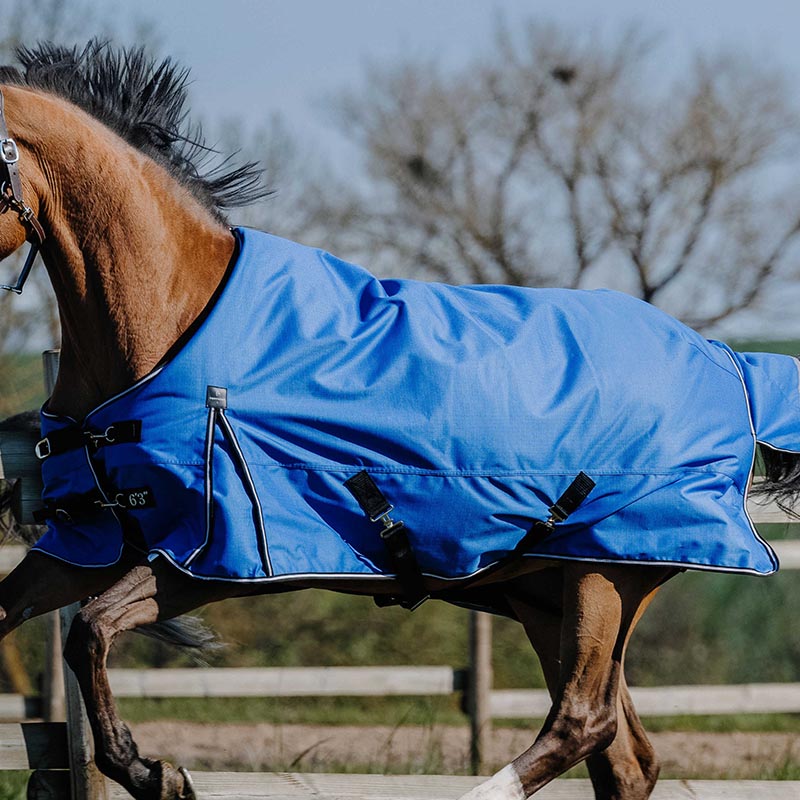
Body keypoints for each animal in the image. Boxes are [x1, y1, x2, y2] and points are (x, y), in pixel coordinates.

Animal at [0, 42, 797, 800]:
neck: (170, 321)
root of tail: (727, 361)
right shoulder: (91, 543)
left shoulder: (213, 559)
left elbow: (90, 634)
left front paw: (156, 774)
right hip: (551, 592)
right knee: (624, 756)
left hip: (608, 578)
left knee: (583, 721)